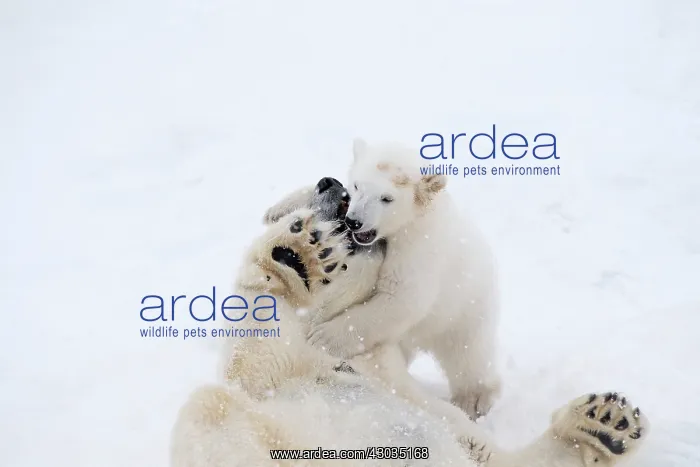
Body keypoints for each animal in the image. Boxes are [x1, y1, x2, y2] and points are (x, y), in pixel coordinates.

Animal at [170, 208, 649, 467]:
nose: (350, 225)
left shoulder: (412, 395)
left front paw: (605, 423)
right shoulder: (278, 372)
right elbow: (254, 358)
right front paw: (301, 253)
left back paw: (604, 423)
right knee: (210, 406)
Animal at [306, 138, 502, 420]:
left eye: (387, 198)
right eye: (357, 185)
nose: (354, 222)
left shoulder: (419, 248)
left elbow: (402, 298)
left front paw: (324, 338)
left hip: (466, 308)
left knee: (468, 354)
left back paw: (474, 400)